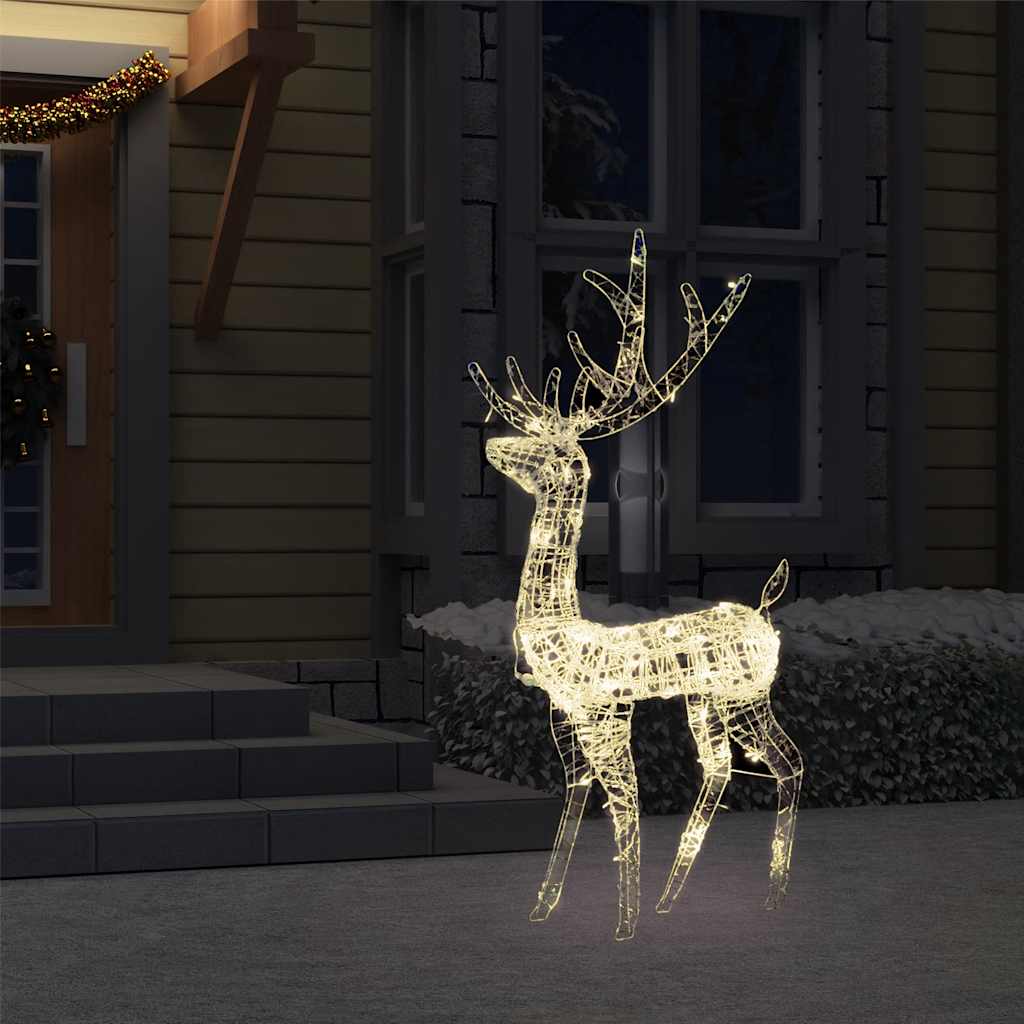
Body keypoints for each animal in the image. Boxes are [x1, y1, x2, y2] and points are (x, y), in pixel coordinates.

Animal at [467, 229, 803, 941]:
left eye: (548, 451)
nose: (491, 447)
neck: (558, 627)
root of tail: (767, 611)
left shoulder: (604, 713)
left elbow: (626, 803)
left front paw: (623, 927)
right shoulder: (563, 716)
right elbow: (574, 801)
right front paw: (543, 908)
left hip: (742, 697)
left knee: (782, 763)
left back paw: (766, 900)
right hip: (710, 701)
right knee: (727, 767)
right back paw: (686, 899)